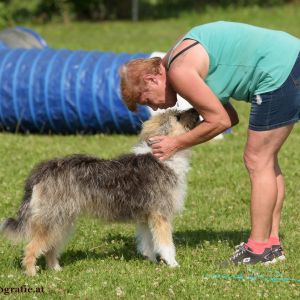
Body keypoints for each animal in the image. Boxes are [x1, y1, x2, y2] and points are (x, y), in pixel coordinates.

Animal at [2, 108, 200, 276]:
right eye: (178, 116)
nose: (197, 110)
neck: (164, 158)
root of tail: (43, 170)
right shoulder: (161, 216)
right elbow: (166, 244)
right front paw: (173, 264)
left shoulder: (146, 217)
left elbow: (148, 243)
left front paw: (150, 260)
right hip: (53, 219)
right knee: (31, 247)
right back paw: (32, 274)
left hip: (62, 219)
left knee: (50, 247)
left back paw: (56, 269)